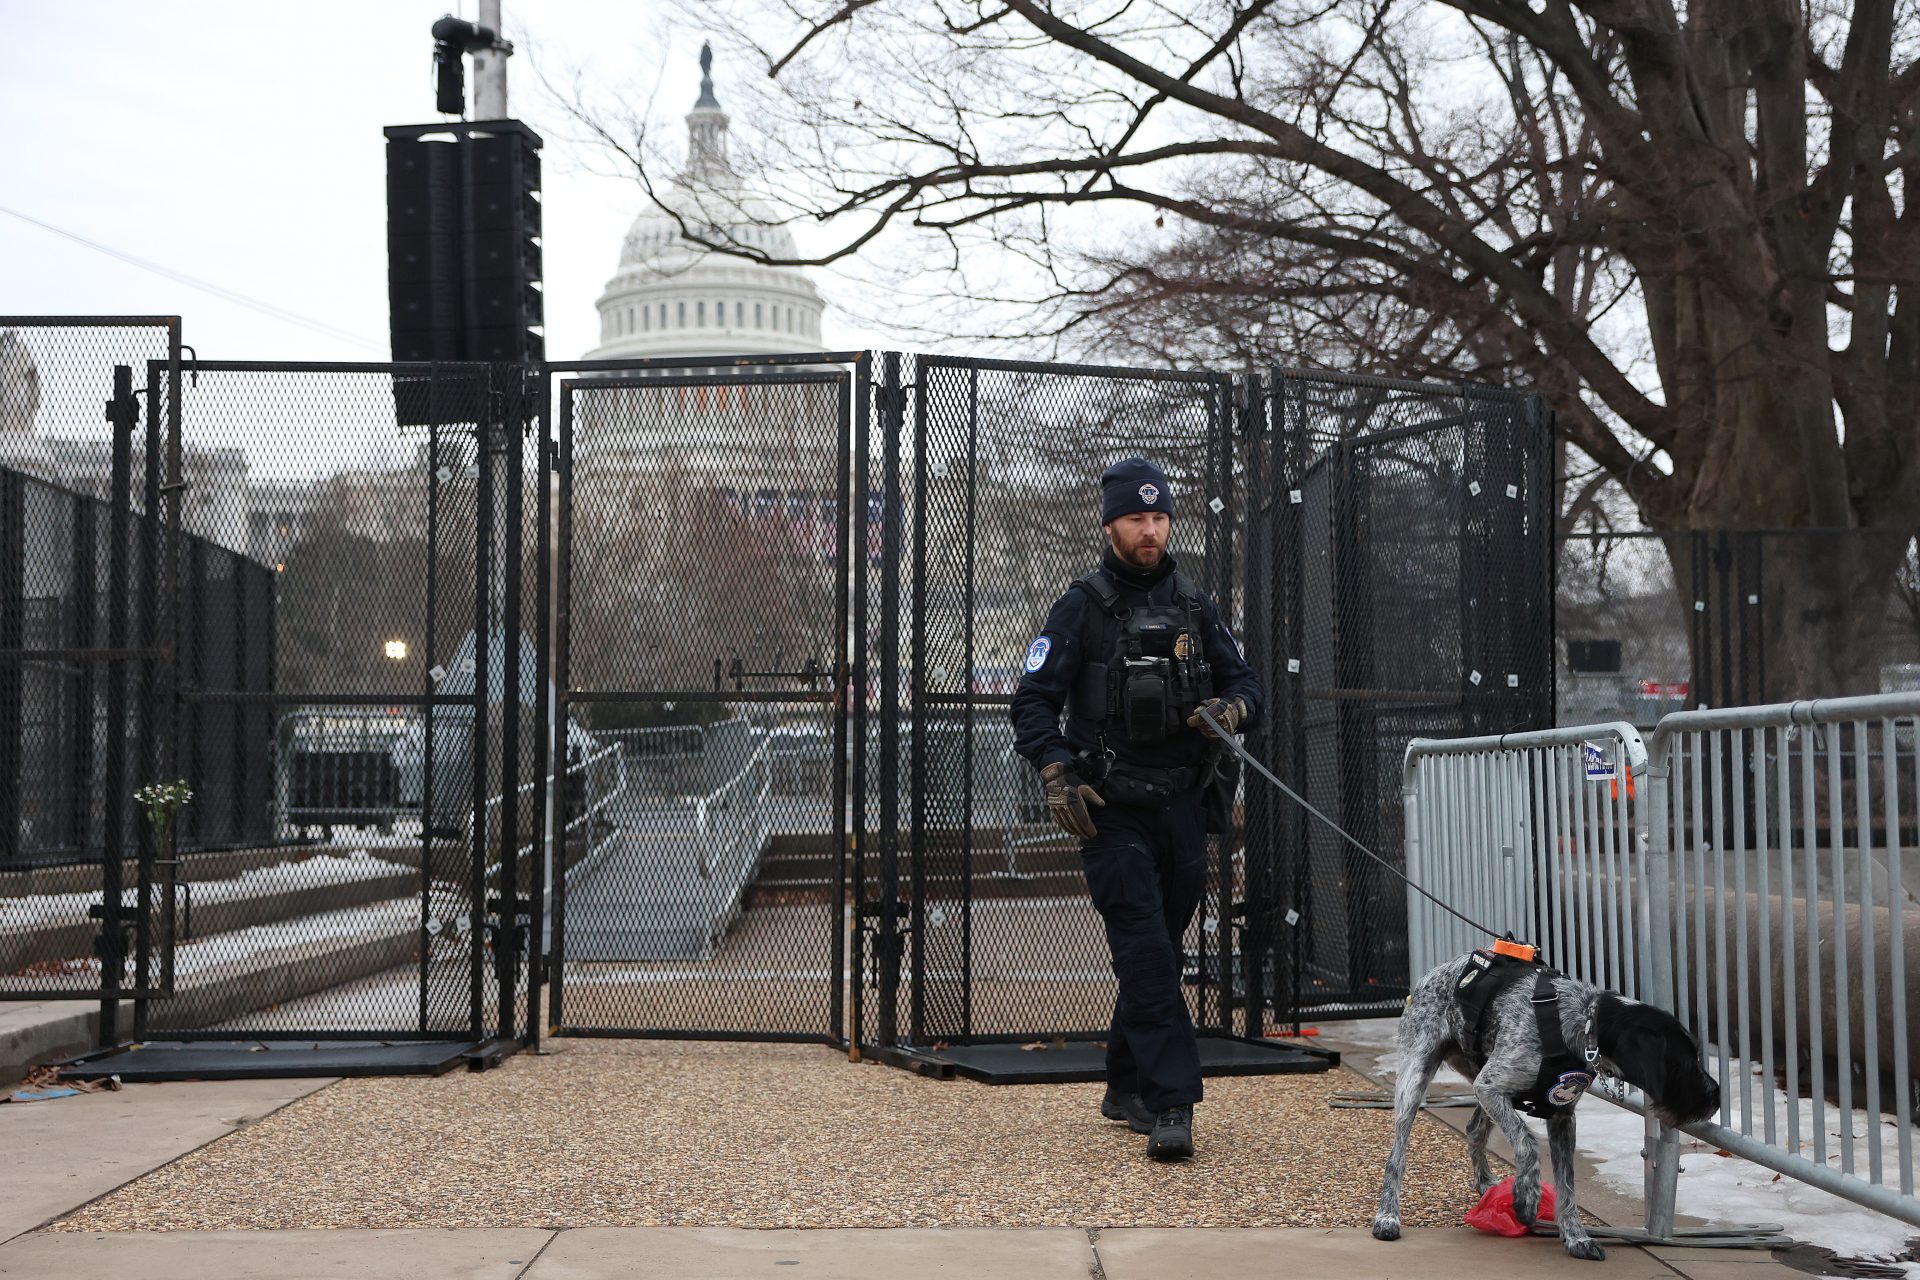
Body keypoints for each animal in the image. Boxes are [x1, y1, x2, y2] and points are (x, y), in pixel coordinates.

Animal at [1374, 951, 1720, 1258]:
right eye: (1684, 1061)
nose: (1715, 1097)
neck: (1582, 1021)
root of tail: (1431, 975)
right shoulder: (1490, 1086)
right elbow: (1527, 1144)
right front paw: (1527, 1198)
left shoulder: (1561, 1114)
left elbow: (1567, 1185)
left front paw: (1575, 1237)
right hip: (1416, 1078)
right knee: (1396, 1156)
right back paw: (1388, 1216)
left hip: (1480, 1075)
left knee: (1474, 1128)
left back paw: (1486, 1183)